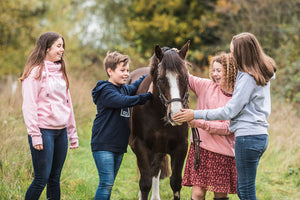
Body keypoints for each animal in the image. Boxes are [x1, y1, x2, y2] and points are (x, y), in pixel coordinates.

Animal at [126, 41, 190, 200]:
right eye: (161, 79)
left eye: (185, 77)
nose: (176, 114)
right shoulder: (140, 145)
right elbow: (145, 183)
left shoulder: (181, 146)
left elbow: (175, 183)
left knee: (155, 169)